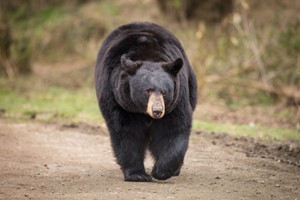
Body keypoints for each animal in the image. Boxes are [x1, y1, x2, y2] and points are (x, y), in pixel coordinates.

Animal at [95, 21, 197, 181]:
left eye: (164, 92)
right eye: (148, 91)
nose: (157, 111)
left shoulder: (177, 98)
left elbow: (174, 128)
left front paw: (161, 171)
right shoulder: (118, 100)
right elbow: (126, 132)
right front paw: (138, 174)